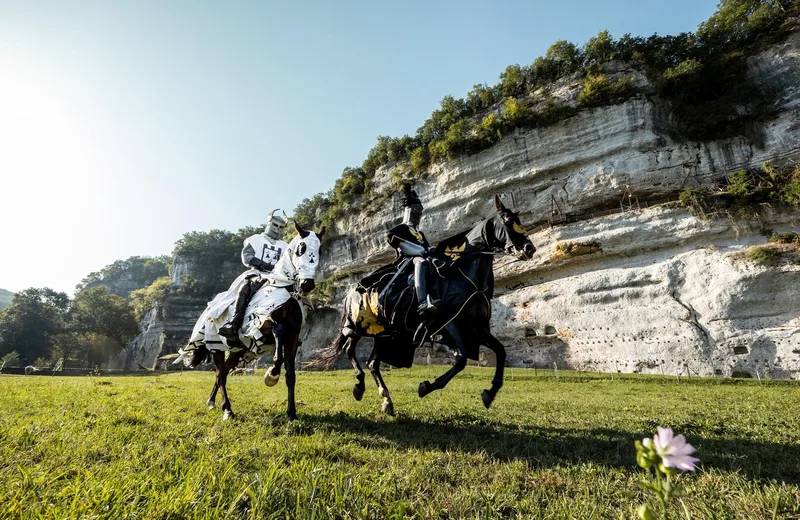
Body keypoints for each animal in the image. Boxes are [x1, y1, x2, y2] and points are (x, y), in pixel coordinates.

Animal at [320, 195, 536, 414]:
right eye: (507, 220)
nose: (529, 248)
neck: (464, 277)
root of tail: (350, 292)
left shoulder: (476, 329)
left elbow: (500, 351)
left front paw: (490, 393)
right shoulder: (448, 324)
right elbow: (461, 359)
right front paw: (426, 387)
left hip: (385, 335)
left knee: (373, 363)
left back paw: (386, 400)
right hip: (357, 326)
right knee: (350, 350)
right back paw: (359, 386)